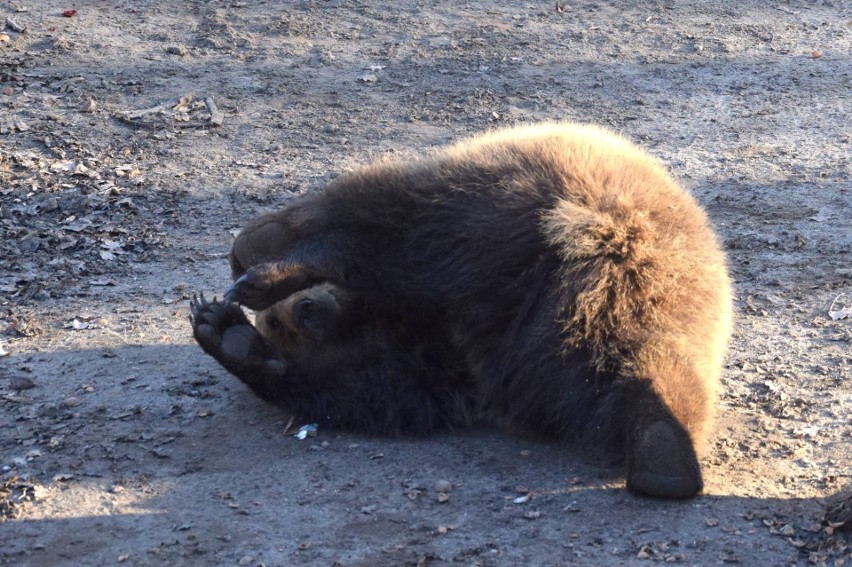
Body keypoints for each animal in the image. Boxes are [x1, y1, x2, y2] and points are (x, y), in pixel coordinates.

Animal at [191, 122, 732, 500]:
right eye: (281, 325)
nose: (300, 312)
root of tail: (605, 236)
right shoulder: (437, 368)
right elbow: (368, 388)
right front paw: (230, 334)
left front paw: (233, 314)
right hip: (612, 323)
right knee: (650, 368)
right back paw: (664, 454)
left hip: (511, 193)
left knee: (396, 223)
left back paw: (261, 251)